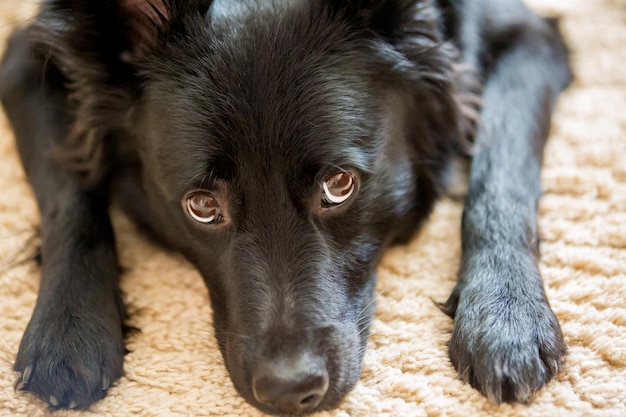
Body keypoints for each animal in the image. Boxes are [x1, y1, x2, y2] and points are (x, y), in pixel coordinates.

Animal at [0, 0, 572, 412]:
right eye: (202, 206)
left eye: (339, 184)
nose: (288, 391)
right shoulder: (25, 57)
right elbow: (69, 195)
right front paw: (68, 333)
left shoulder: (528, 37)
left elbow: (502, 167)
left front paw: (506, 318)